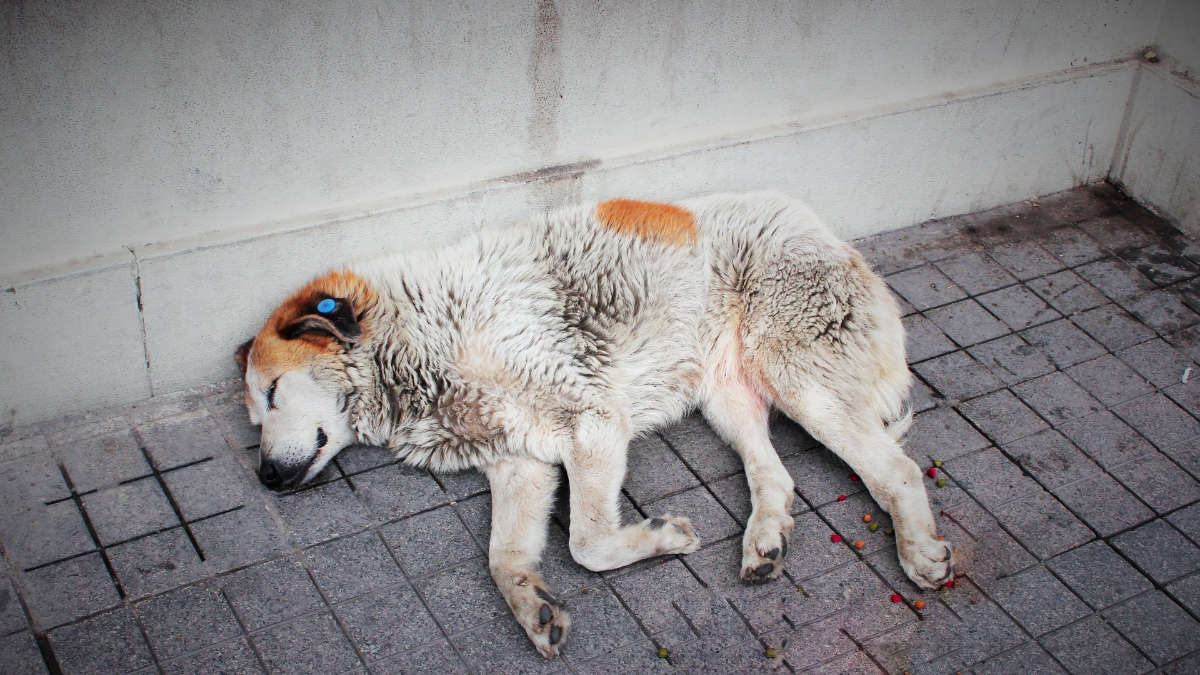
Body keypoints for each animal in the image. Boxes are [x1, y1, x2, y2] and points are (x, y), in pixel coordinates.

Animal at [231, 193, 945, 658]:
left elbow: (586, 542)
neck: (418, 341)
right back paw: (766, 542)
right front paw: (534, 609)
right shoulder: (520, 462)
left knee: (898, 470)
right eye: (254, 413)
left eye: (273, 392)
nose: (264, 477)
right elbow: (504, 557)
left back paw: (921, 553)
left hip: (798, 379)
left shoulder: (592, 422)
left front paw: (662, 537)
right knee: (776, 475)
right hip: (729, 398)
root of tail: (826, 230)